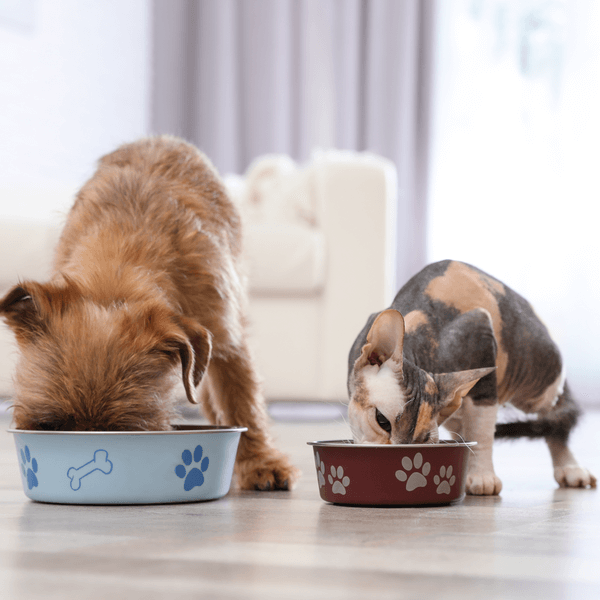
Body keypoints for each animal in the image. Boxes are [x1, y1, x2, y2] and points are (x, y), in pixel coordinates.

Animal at [0, 137, 298, 492]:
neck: (116, 274)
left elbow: (242, 403)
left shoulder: (226, 338)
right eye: (49, 426)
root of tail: (160, 139)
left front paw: (260, 463)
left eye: (124, 431)